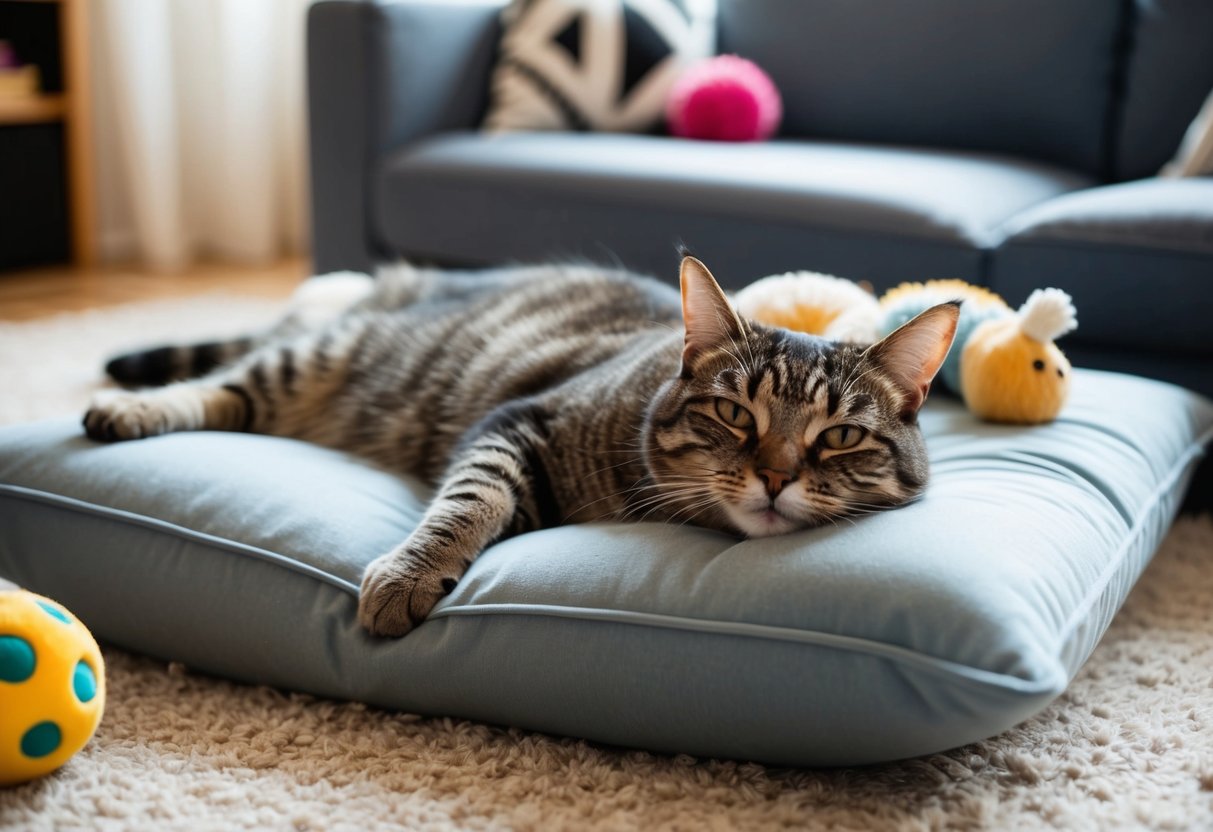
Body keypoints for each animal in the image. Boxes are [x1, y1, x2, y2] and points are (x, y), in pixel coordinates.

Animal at [83, 257, 955, 635]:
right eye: (735, 414)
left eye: (839, 437)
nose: (773, 477)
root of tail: (419, 279)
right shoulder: (515, 424)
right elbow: (468, 501)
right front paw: (408, 575)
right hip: (327, 355)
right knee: (227, 382)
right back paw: (129, 409)